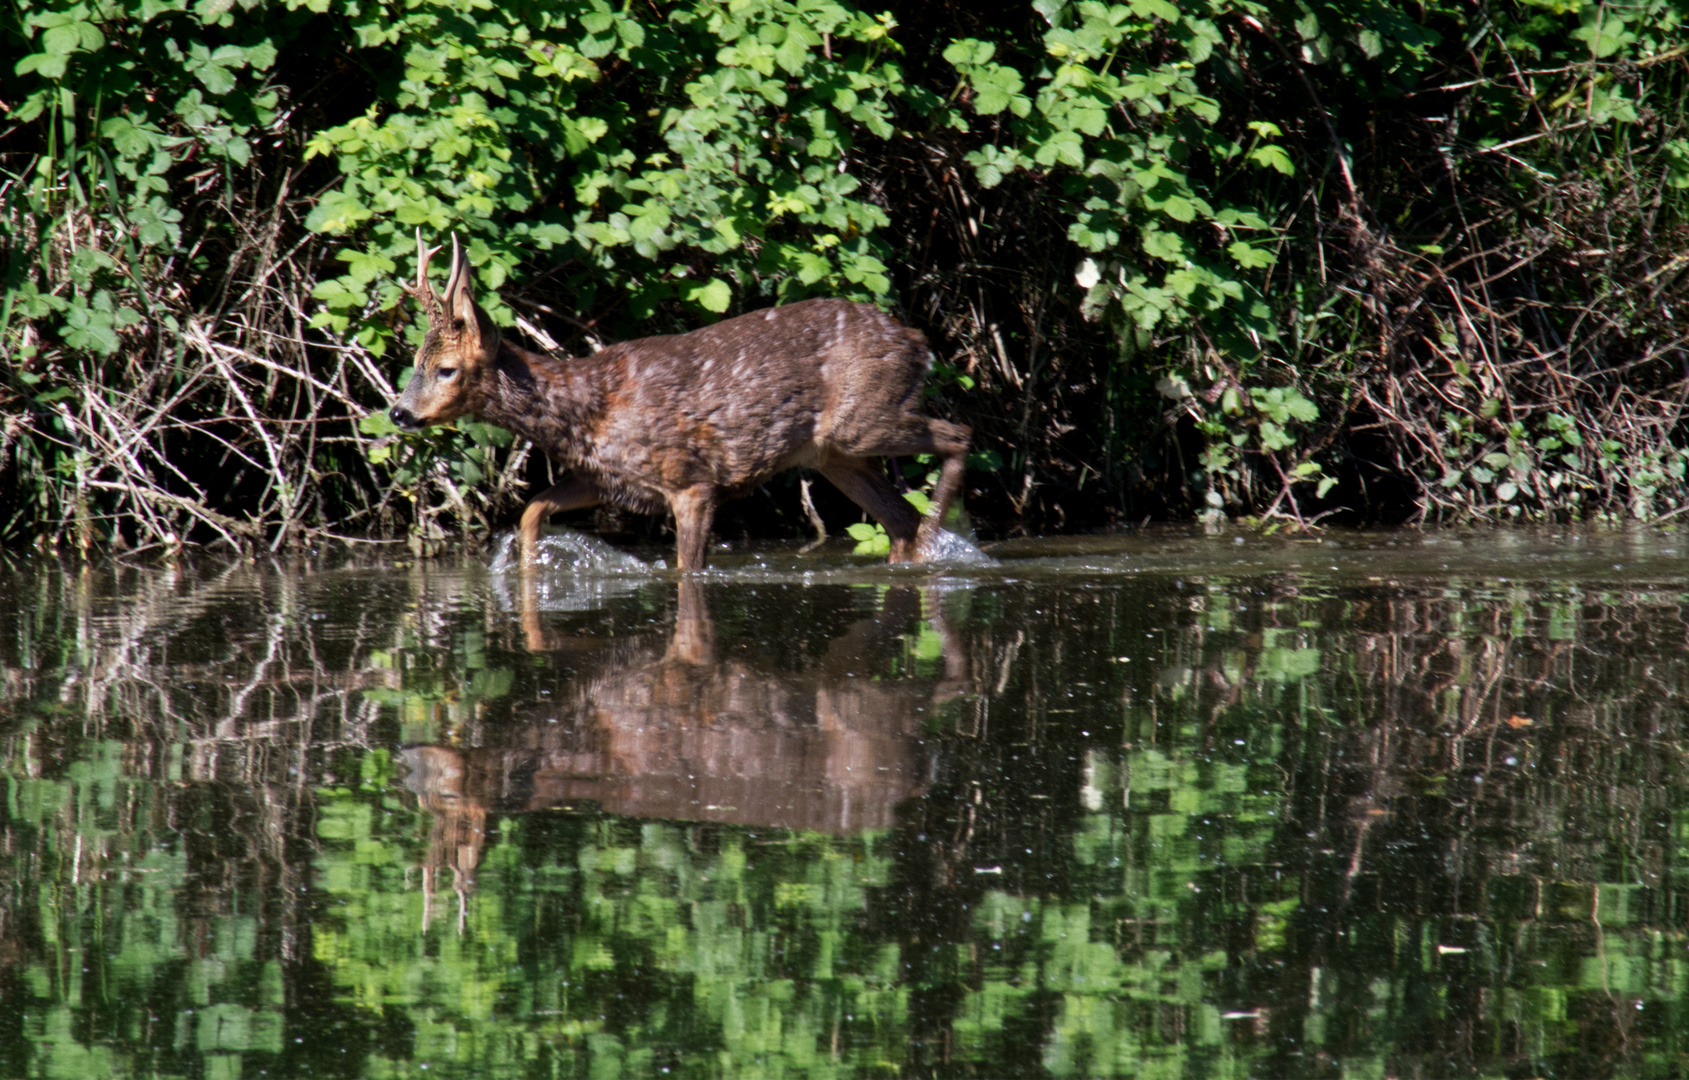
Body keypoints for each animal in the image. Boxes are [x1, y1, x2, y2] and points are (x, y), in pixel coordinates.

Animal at [383, 233, 966, 571]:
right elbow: (530, 510)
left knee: (958, 436)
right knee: (898, 519)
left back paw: (937, 541)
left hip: (862, 420)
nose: (399, 412)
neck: (589, 410)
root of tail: (918, 341)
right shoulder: (606, 479)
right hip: (834, 455)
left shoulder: (692, 480)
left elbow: (688, 569)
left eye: (446, 368)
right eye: (415, 359)